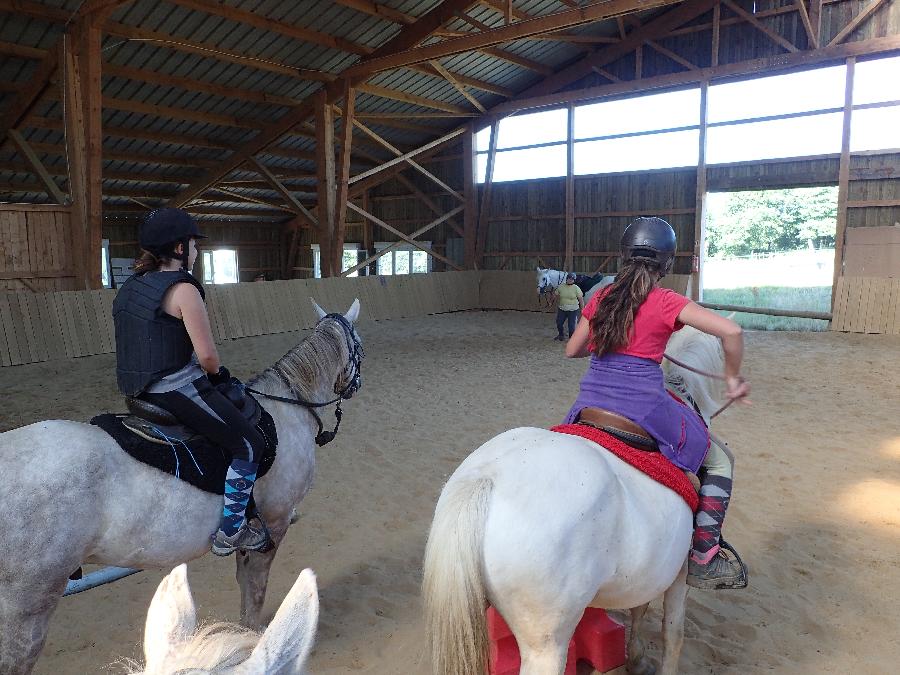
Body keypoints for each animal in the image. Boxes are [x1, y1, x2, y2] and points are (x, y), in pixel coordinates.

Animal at [424, 324, 732, 672]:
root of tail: (487, 478)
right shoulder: (679, 575)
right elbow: (673, 634)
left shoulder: (651, 572)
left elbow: (640, 610)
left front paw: (636, 658)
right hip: (546, 644)